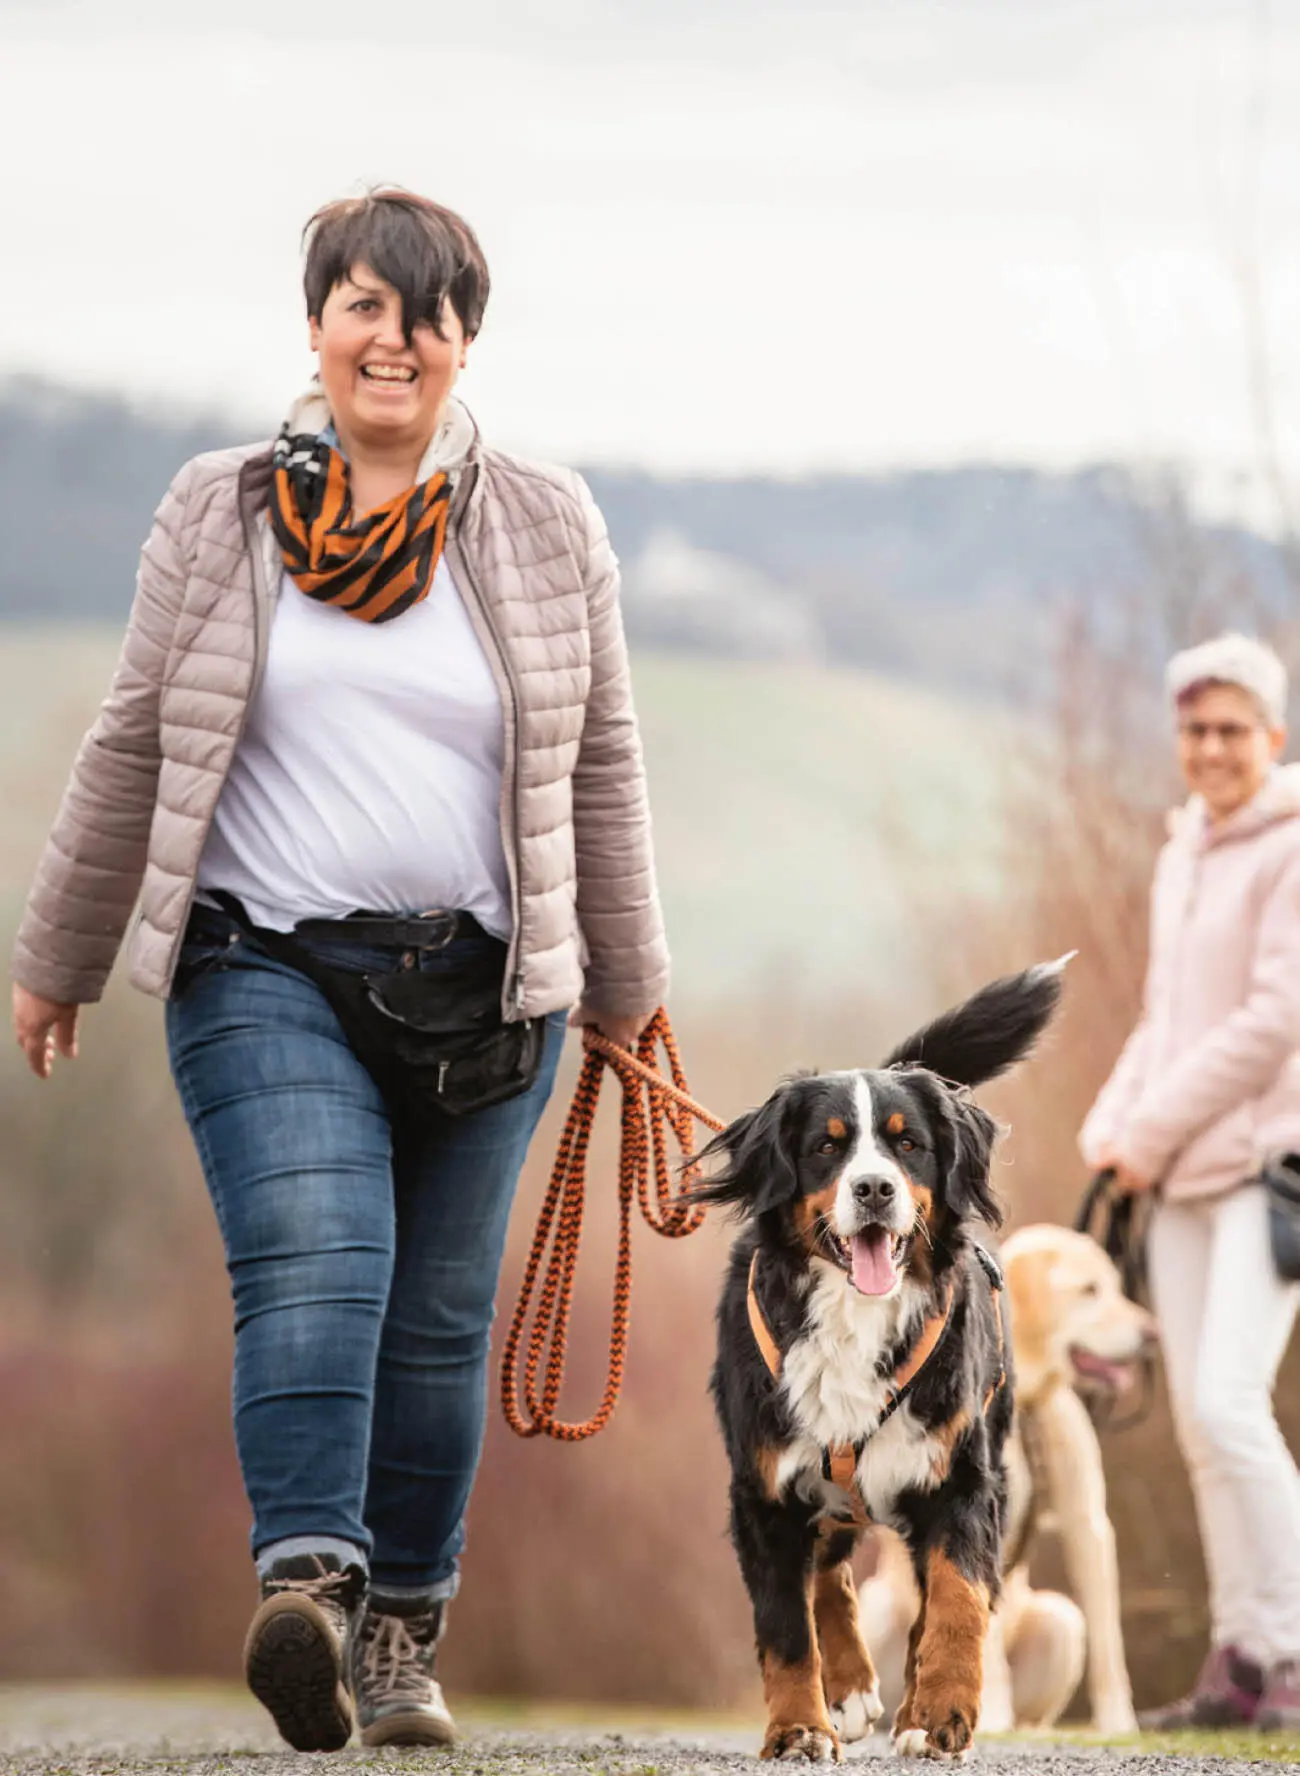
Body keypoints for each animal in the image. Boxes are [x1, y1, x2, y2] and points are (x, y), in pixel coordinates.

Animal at [696, 966, 1058, 1754]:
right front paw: (798, 1730)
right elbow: (785, 1630)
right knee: (828, 1569)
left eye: (908, 1145)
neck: (854, 1320)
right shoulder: (763, 1489)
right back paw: (851, 1689)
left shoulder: (961, 1477)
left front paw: (940, 1716)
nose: (874, 1188)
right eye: (827, 1148)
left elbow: (956, 1603)